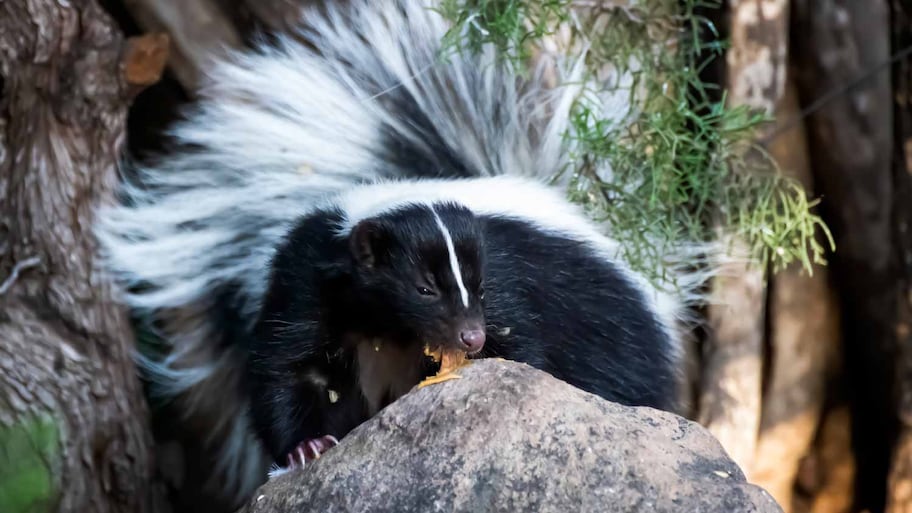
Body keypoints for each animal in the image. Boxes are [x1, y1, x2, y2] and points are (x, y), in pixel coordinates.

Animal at [92, 0, 704, 506]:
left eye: (476, 285)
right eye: (423, 287)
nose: (470, 337)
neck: (390, 327)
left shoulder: (508, 287)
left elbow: (525, 354)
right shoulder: (306, 280)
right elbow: (289, 368)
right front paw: (307, 448)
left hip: (613, 335)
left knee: (619, 382)